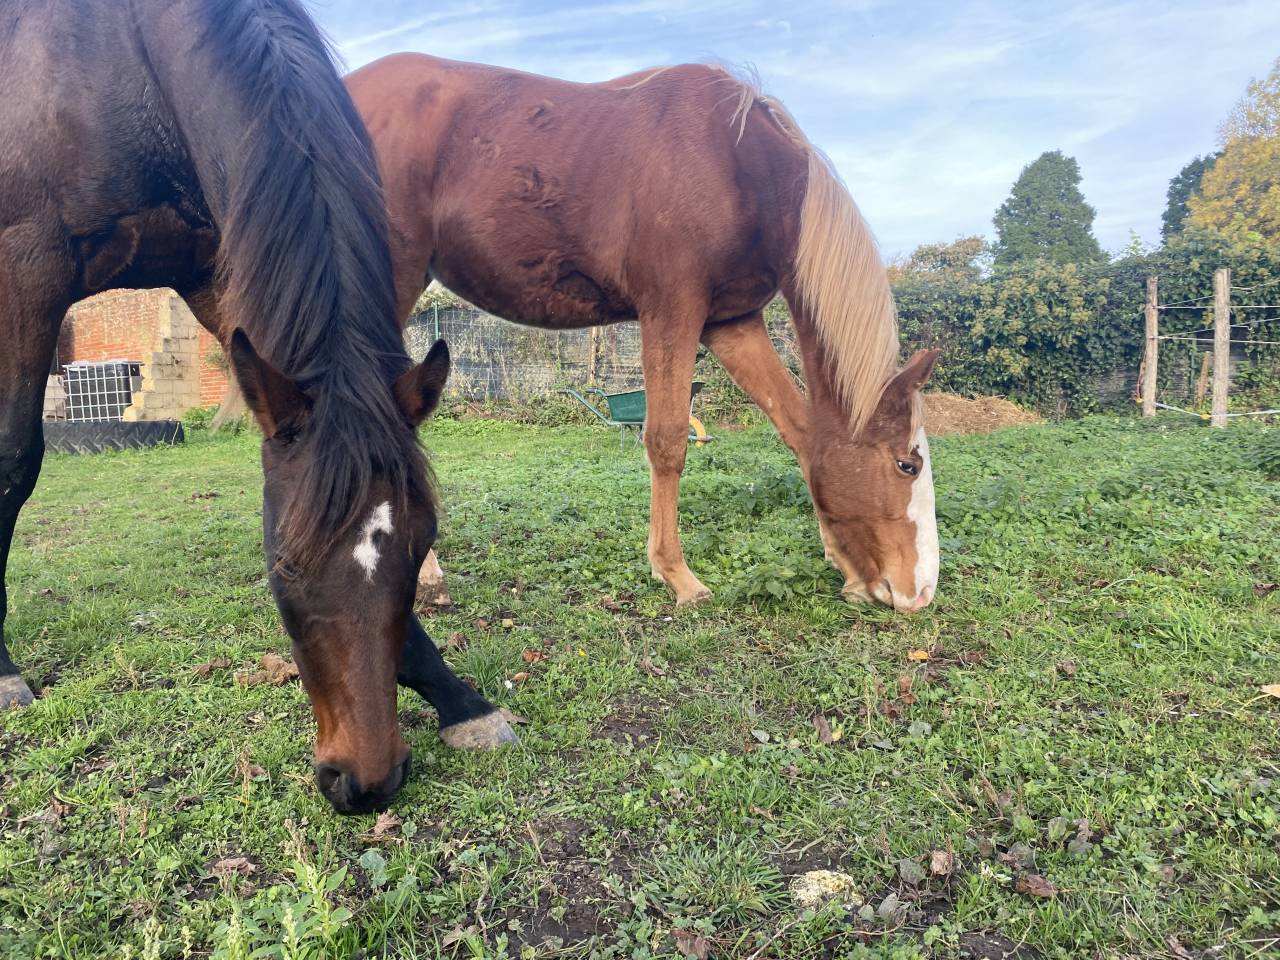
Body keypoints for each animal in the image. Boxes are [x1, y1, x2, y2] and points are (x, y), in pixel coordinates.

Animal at [0, 1, 515, 815]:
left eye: (422, 547)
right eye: (284, 563)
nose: (366, 782)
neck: (120, 60)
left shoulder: (221, 267)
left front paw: (459, 700)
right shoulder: (28, 266)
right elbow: (13, 461)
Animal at [344, 54, 941, 611]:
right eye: (906, 464)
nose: (920, 592)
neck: (738, 163)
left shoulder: (731, 323)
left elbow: (797, 429)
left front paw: (844, 567)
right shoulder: (672, 310)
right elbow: (667, 439)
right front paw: (677, 575)